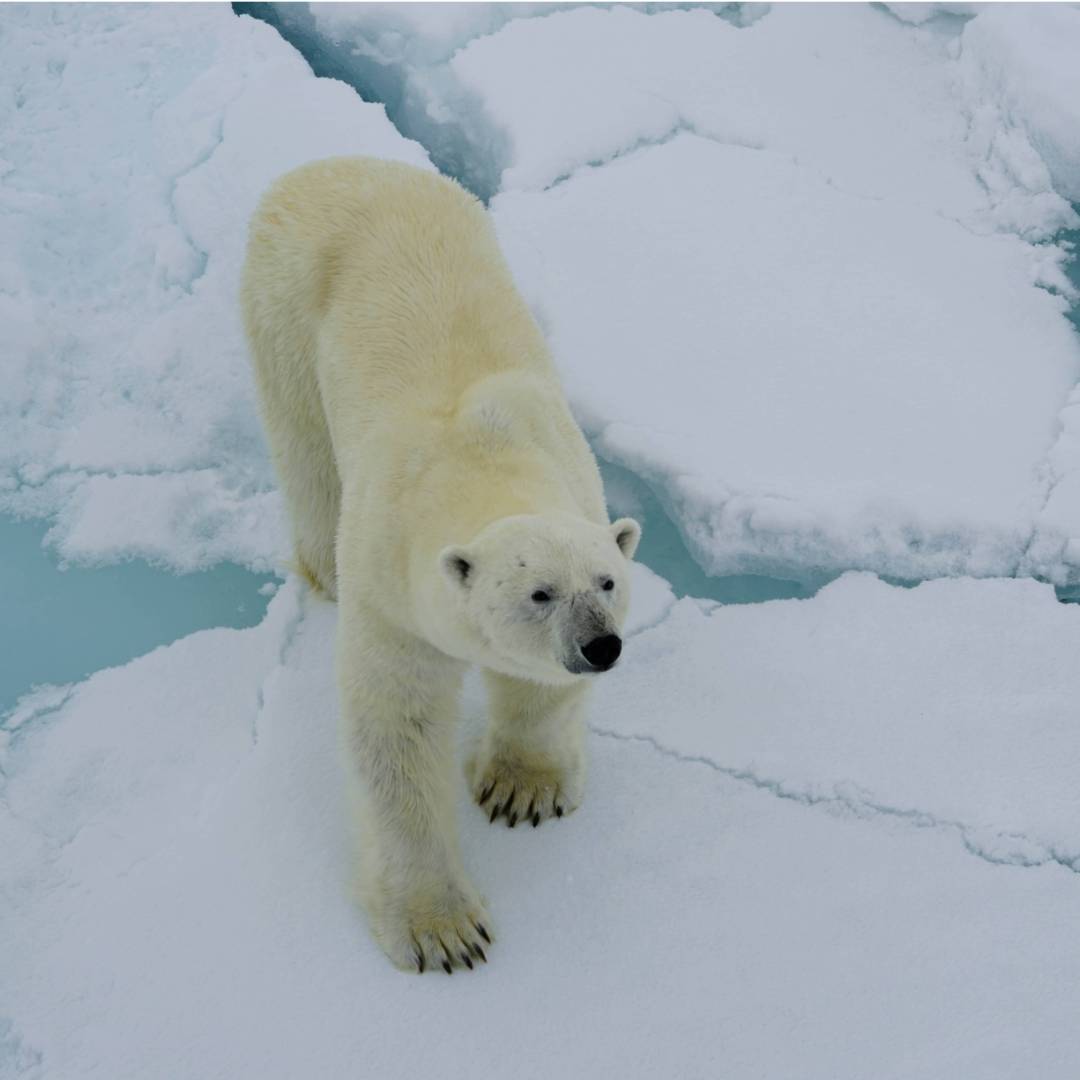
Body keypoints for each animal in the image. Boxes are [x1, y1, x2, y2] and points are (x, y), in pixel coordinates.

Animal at [240, 156, 641, 973]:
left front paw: (523, 793)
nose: (601, 646)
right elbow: (397, 728)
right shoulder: (390, 589)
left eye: (607, 583)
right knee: (304, 450)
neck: (476, 456)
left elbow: (536, 691)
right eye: (539, 593)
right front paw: (443, 931)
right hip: (284, 306)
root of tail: (326, 165)